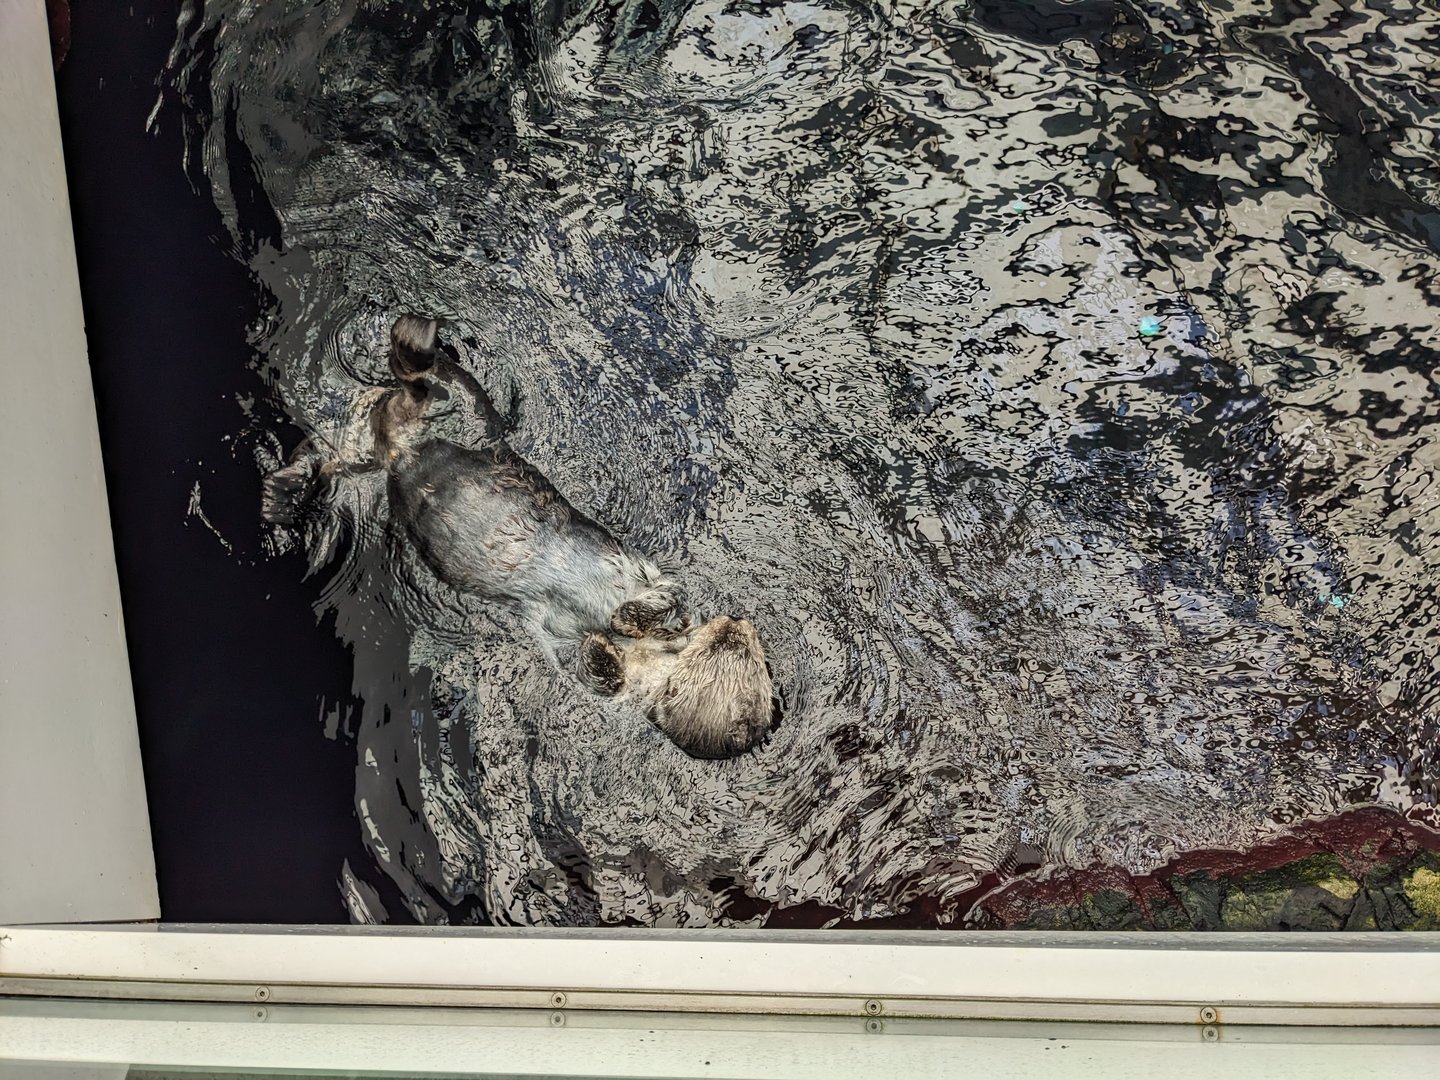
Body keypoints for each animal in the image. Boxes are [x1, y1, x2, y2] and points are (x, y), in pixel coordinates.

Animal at [264, 315, 775, 760]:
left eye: (737, 649)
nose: (735, 622)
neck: (646, 657)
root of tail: (402, 452)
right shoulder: (650, 576)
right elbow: (669, 593)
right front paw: (629, 618)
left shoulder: (589, 674)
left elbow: (588, 669)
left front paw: (602, 646)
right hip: (461, 420)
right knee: (417, 392)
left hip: (382, 450)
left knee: (357, 442)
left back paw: (283, 489)